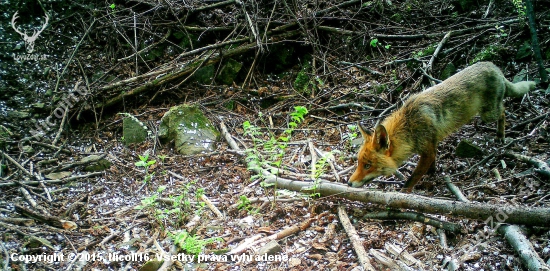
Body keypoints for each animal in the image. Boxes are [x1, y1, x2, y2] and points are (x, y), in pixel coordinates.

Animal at [352, 61, 536, 193]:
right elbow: (432, 163)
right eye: (358, 162)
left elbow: (414, 176)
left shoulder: (427, 150)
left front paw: (405, 192)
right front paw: (432, 173)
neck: (410, 127)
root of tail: (494, 67)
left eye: (367, 166)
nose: (348, 182)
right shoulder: (431, 145)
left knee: (503, 111)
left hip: (489, 114)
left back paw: (500, 135)